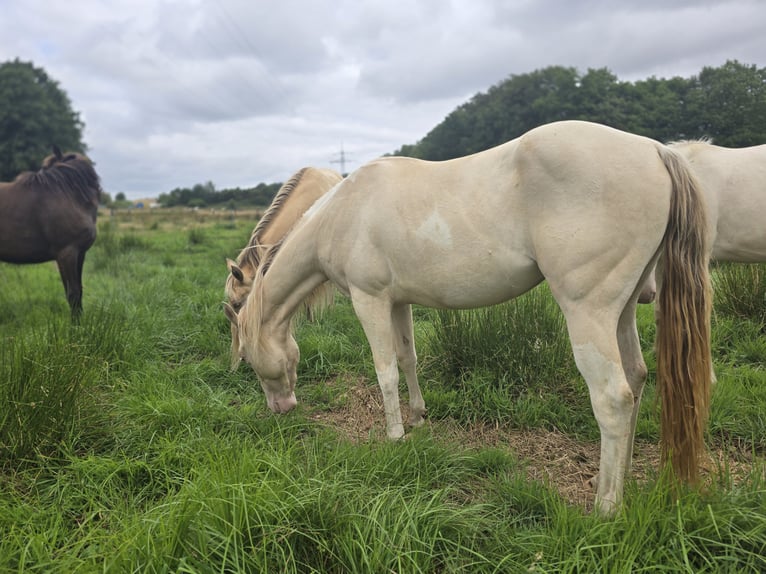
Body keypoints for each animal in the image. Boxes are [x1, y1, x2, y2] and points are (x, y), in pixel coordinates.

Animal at [0, 147, 102, 318]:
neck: (69, 195)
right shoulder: (67, 254)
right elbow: (73, 294)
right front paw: (76, 326)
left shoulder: (80, 253)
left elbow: (79, 290)